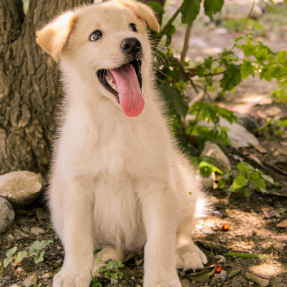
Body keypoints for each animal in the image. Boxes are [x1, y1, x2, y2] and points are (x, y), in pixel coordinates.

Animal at [36, 1, 209, 286]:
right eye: (95, 35)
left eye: (133, 27)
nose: (132, 43)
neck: (115, 119)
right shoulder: (76, 188)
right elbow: (77, 238)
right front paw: (73, 274)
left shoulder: (157, 186)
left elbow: (160, 241)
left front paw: (161, 279)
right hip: (56, 202)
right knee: (116, 246)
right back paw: (104, 260)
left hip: (183, 185)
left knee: (183, 228)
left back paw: (186, 252)